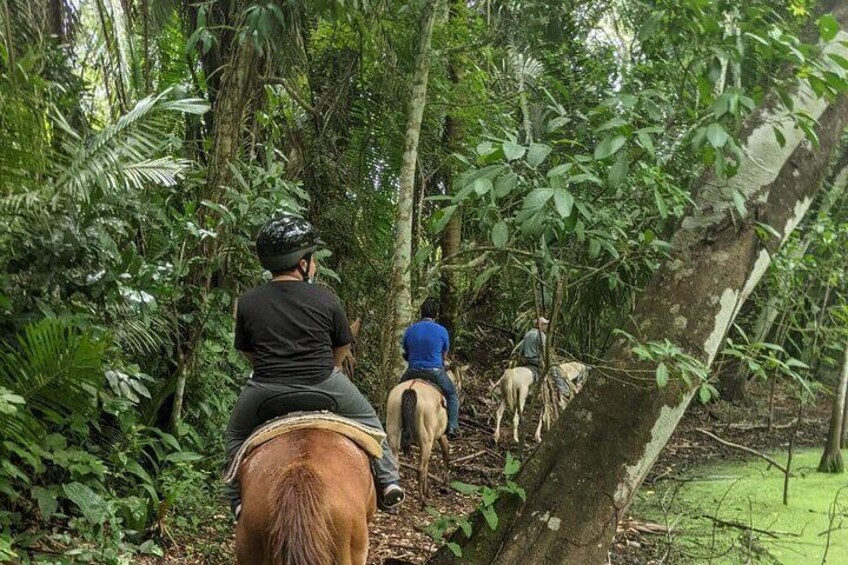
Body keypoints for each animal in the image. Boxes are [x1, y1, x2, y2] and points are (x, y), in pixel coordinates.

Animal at [388, 364, 468, 504]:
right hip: (426, 440)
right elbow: (445, 456)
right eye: (461, 385)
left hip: (393, 428)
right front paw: (444, 486)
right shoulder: (442, 436)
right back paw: (422, 501)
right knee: (421, 468)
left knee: (396, 463)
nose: (462, 402)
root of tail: (410, 389)